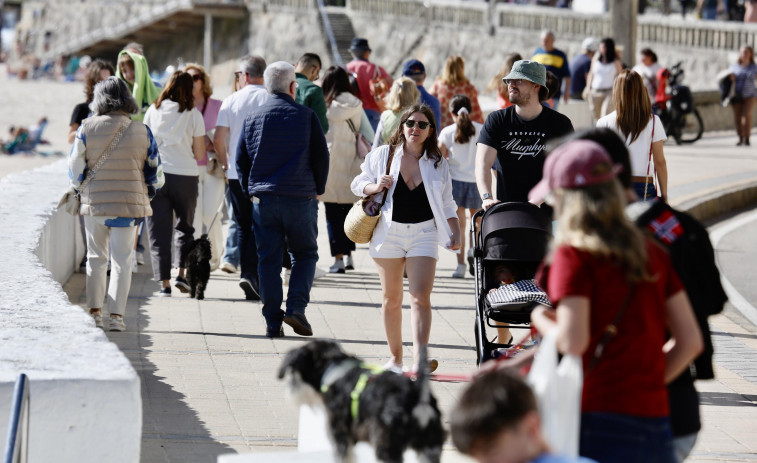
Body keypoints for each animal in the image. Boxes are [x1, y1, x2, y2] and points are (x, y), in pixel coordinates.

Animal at [276, 340, 442, 463]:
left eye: (294, 371)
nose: (291, 390)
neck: (333, 371)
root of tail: (418, 395)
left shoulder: (340, 434)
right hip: (429, 446)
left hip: (387, 444)